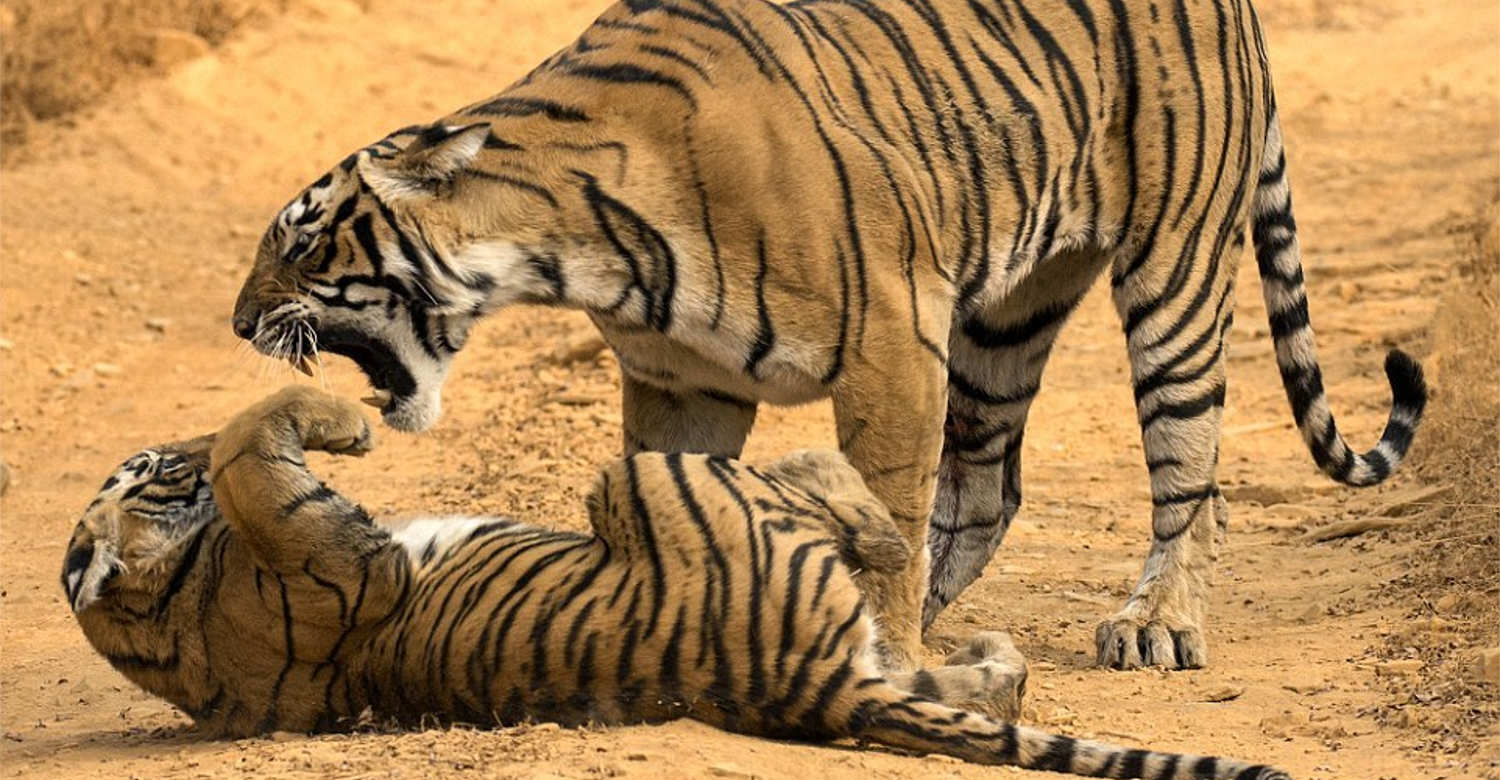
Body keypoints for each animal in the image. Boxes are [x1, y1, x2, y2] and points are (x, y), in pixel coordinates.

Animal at [64, 390, 1284, 780]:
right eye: (156, 465)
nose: (166, 441)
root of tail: (819, 688)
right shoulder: (319, 548)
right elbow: (250, 441)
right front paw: (344, 422)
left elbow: (246, 439)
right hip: (642, 473)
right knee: (852, 515)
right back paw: (898, 548)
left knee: (979, 670)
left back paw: (978, 640)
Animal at [228, 0, 1422, 672]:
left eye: (301, 235)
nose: (239, 322)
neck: (570, 242)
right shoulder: (683, 386)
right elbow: (672, 503)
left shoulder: (893, 343)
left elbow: (889, 505)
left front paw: (884, 644)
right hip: (1012, 310)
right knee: (988, 485)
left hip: (1172, 267)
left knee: (1190, 471)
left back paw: (1156, 625)